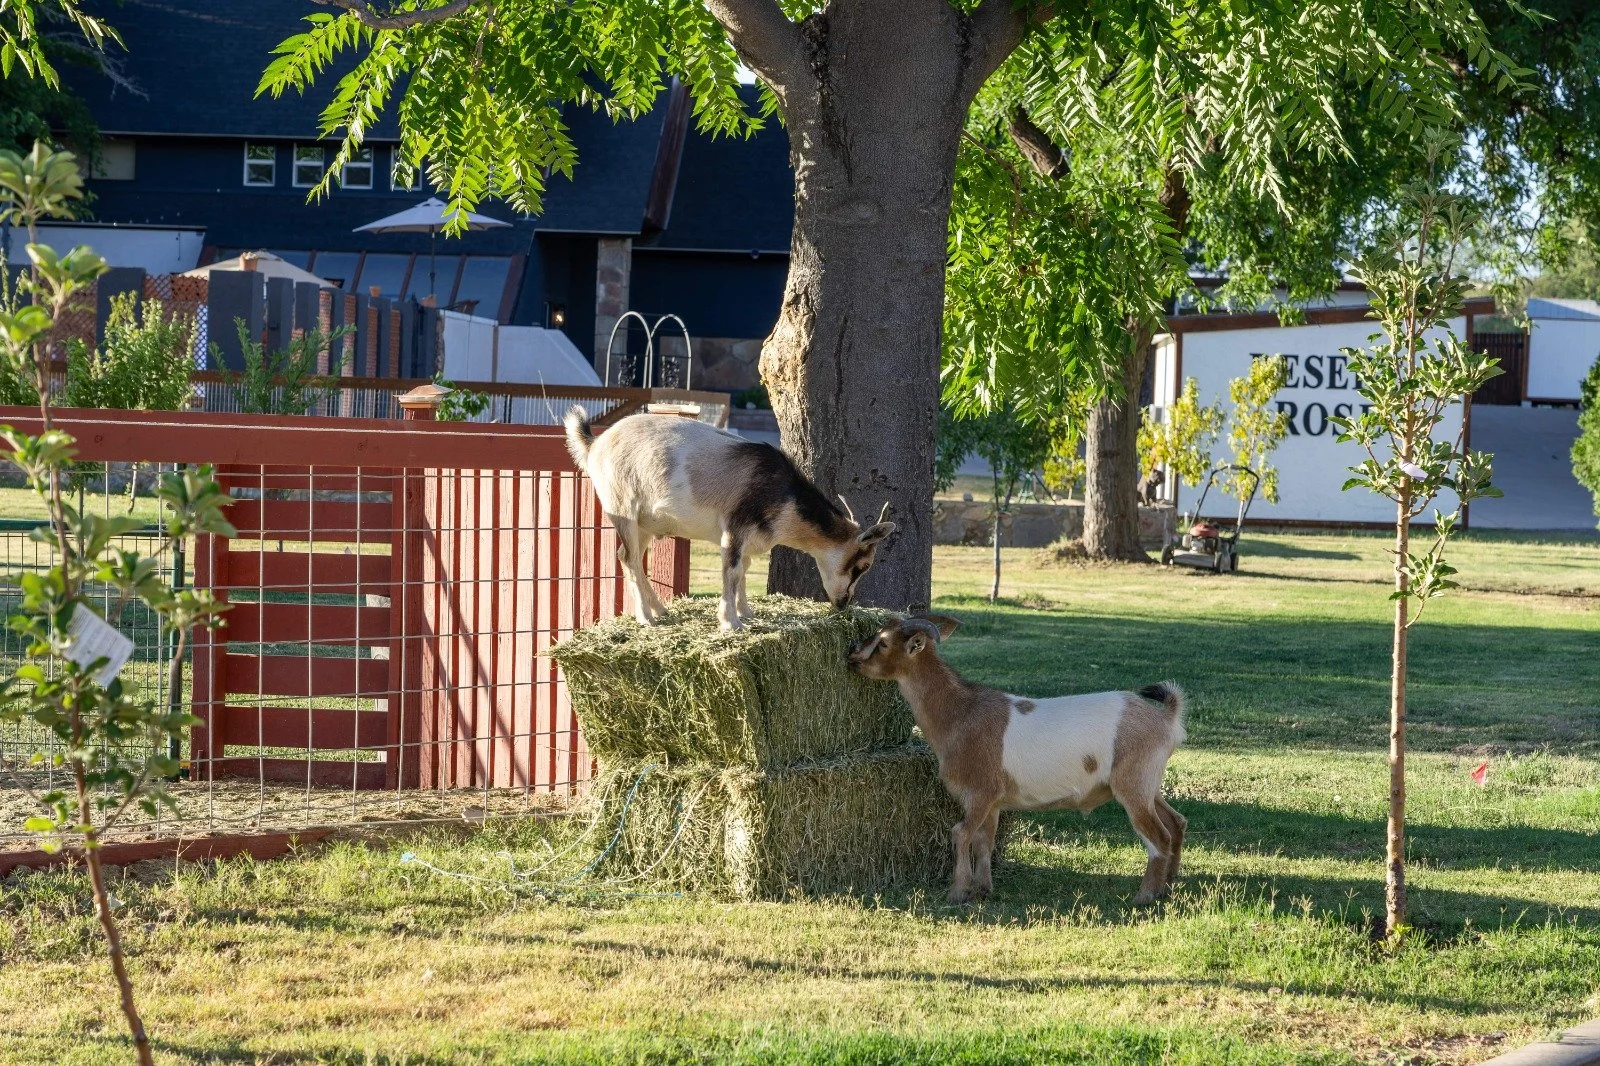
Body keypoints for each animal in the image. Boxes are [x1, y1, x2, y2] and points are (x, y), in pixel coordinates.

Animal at [565, 407, 896, 631]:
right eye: (863, 565)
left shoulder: (749, 538)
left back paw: (660, 610)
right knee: (632, 558)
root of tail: (595, 444)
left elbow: (744, 570)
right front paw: (731, 622)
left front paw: (746, 611)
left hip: (644, 525)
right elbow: (733, 569)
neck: (780, 490)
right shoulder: (735, 528)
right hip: (623, 510)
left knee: (626, 556)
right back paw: (646, 618)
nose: (843, 604)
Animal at [849, 615, 1186, 905]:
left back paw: (1145, 896)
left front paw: (958, 892)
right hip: (1148, 784)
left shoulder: (980, 792)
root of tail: (1166, 720)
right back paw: (1168, 886)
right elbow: (984, 841)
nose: (852, 656)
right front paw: (983, 889)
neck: (960, 714)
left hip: (1133, 784)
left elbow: (961, 834)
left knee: (1159, 836)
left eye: (882, 643)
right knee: (1176, 822)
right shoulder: (993, 802)